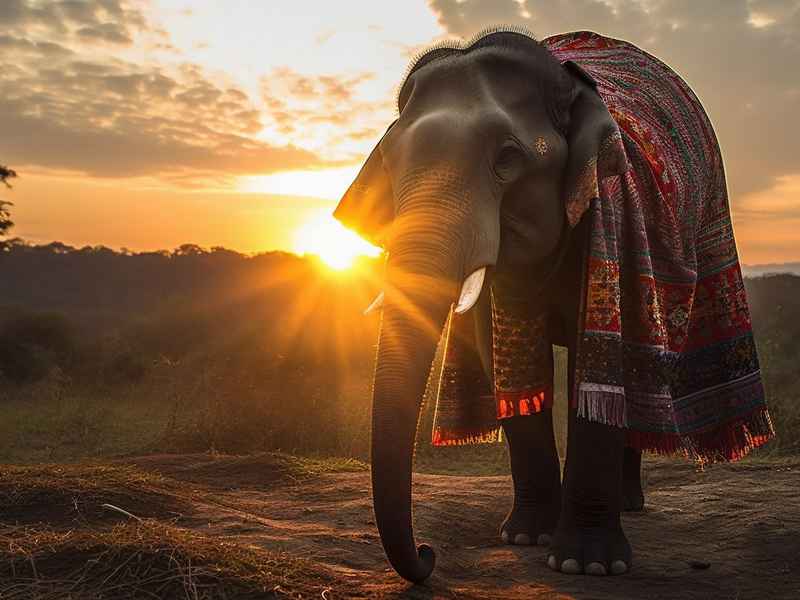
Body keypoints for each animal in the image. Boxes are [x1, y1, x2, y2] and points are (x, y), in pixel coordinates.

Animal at [334, 27, 773, 583]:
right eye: (389, 163)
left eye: (507, 159)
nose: (429, 555)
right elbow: (504, 357)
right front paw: (525, 536)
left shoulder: (615, 216)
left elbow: (603, 357)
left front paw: (585, 564)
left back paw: (627, 504)